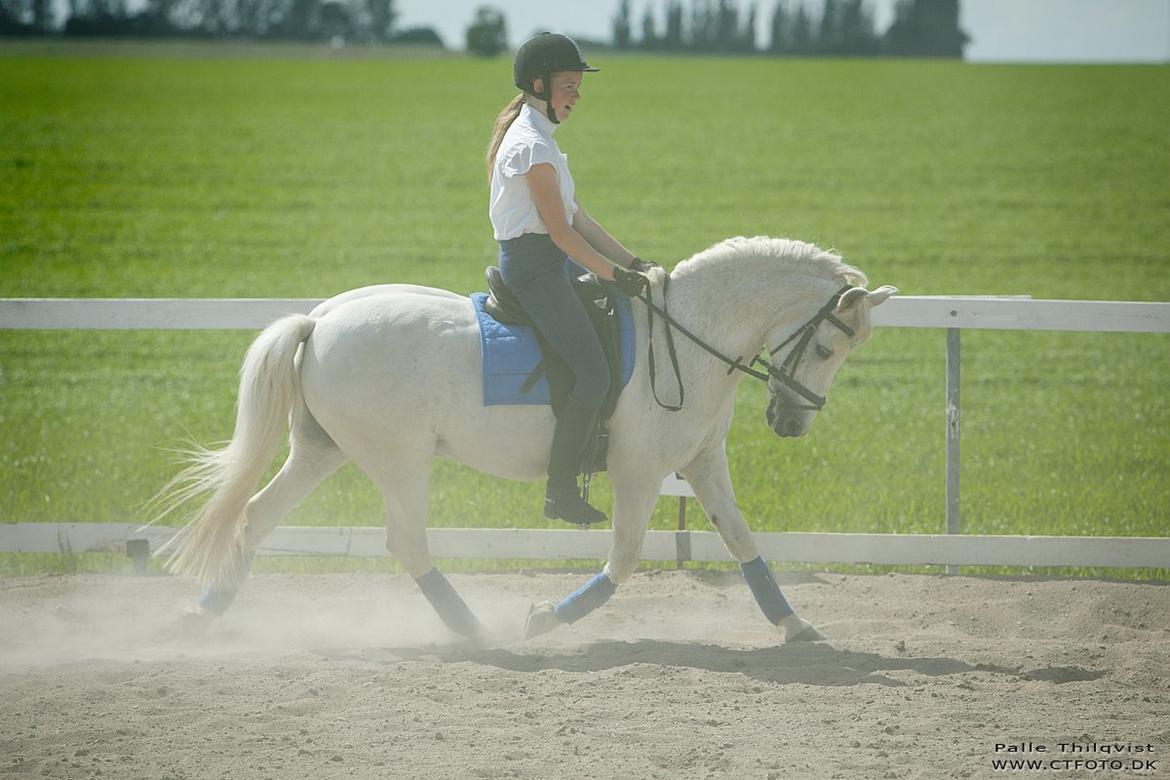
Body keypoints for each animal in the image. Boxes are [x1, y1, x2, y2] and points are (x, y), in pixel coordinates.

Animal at [155, 235, 893, 645]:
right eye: (826, 347)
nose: (792, 423)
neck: (687, 336)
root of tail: (321, 318)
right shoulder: (639, 469)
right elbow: (623, 560)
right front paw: (545, 619)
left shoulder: (703, 462)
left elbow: (743, 543)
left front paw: (796, 626)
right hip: (399, 459)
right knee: (406, 542)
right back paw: (474, 629)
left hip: (321, 450)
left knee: (256, 517)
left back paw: (202, 615)